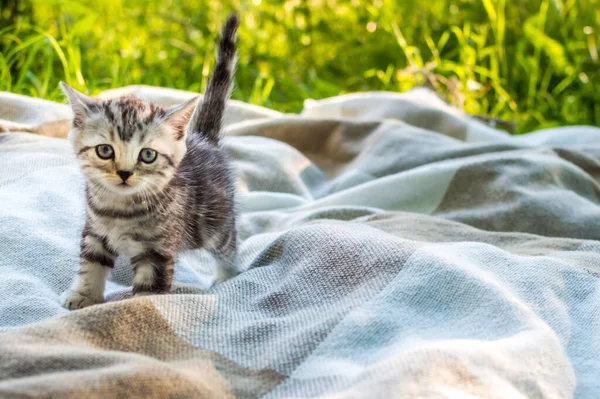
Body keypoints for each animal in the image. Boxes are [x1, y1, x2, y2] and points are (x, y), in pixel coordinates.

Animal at [60, 14, 239, 310]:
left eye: (147, 155)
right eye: (105, 151)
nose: (124, 173)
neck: (119, 210)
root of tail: (203, 138)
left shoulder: (157, 249)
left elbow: (149, 285)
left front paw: (137, 308)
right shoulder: (95, 232)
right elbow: (91, 263)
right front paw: (83, 295)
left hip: (214, 222)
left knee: (228, 247)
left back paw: (229, 276)